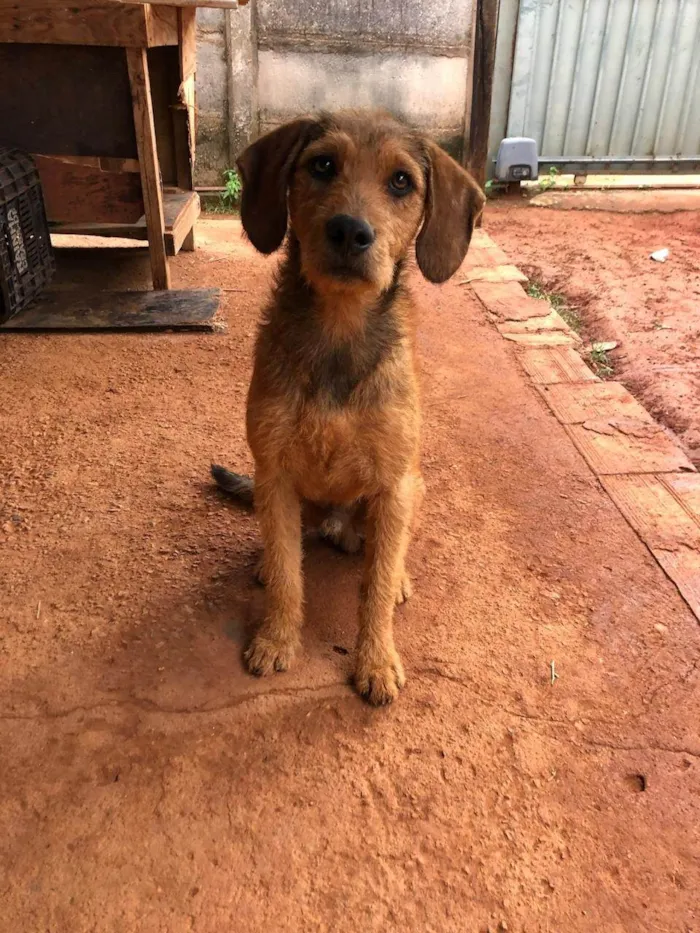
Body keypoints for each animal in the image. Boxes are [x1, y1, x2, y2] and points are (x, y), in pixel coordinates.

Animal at [213, 109, 484, 704]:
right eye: (322, 165)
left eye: (401, 181)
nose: (349, 231)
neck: (340, 330)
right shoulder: (274, 472)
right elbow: (289, 576)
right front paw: (277, 639)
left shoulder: (393, 482)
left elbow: (374, 590)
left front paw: (376, 660)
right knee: (289, 541)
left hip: (412, 486)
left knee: (387, 547)